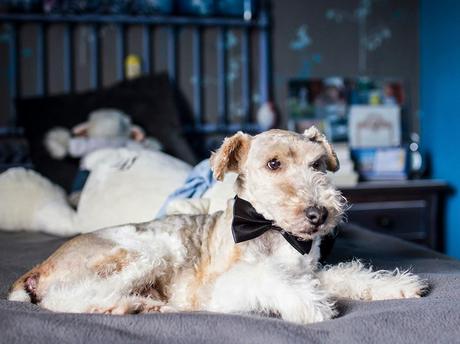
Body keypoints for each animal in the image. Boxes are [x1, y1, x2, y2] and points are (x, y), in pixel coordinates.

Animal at [7, 127, 426, 324]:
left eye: (318, 164)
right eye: (273, 164)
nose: (318, 214)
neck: (271, 231)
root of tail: (37, 269)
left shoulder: (309, 271)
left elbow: (347, 275)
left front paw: (397, 286)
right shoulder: (220, 290)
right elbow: (269, 278)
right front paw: (310, 305)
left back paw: (141, 305)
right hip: (146, 251)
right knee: (70, 299)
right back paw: (135, 306)